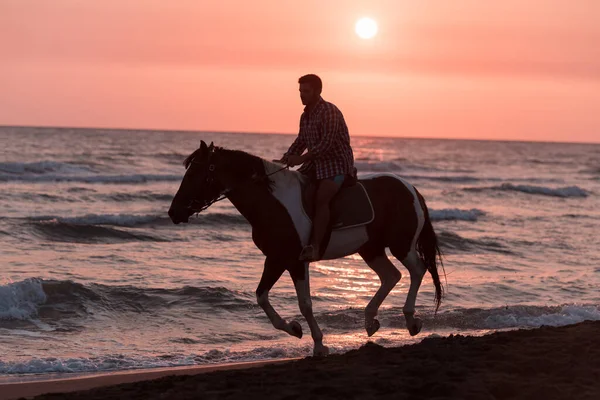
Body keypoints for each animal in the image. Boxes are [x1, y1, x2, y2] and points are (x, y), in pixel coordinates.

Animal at [166, 141, 442, 356]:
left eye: (194, 174)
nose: (173, 212)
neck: (272, 202)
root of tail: (411, 189)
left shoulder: (295, 261)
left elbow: (305, 303)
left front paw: (319, 345)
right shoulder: (275, 259)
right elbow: (261, 296)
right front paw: (294, 328)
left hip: (401, 245)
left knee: (417, 270)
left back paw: (411, 320)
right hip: (370, 249)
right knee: (391, 275)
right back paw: (370, 321)